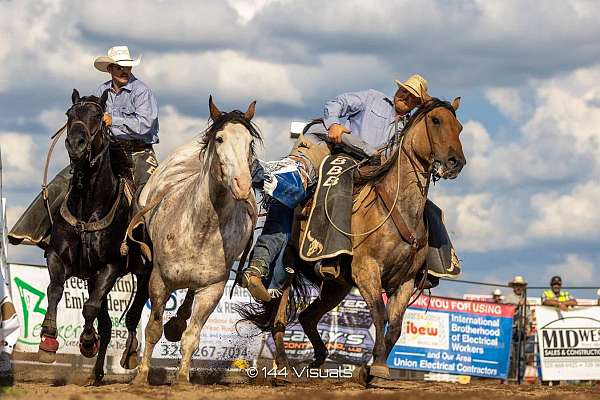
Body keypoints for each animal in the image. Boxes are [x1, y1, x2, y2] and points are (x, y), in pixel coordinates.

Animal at [38, 90, 150, 384]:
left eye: (98, 115)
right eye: (69, 114)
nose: (76, 144)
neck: (88, 208)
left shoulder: (109, 266)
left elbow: (89, 309)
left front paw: (88, 342)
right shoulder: (58, 257)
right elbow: (54, 290)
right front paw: (47, 341)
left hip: (145, 272)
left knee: (133, 315)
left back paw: (129, 354)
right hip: (92, 278)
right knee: (108, 324)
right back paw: (96, 374)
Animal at [129, 96, 260, 384]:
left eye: (250, 142)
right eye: (220, 139)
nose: (243, 185)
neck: (202, 228)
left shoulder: (212, 289)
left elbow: (192, 336)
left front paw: (182, 378)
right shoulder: (160, 280)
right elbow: (153, 328)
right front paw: (141, 376)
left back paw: (178, 323)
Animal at [237, 96, 466, 384]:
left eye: (459, 127)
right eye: (435, 120)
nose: (456, 162)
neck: (396, 208)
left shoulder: (406, 281)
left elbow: (396, 325)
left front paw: (371, 369)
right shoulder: (366, 270)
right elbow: (379, 314)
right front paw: (376, 366)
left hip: (337, 286)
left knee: (307, 317)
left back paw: (316, 363)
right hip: (288, 268)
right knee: (278, 317)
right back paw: (285, 367)